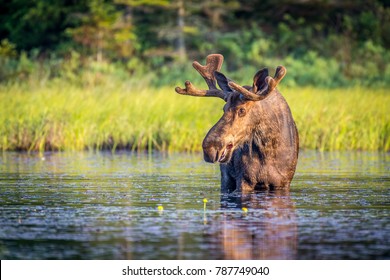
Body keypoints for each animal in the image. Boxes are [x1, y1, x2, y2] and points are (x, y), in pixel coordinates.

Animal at [174, 53, 298, 194]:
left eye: (242, 110)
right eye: (224, 108)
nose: (209, 148)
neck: (268, 148)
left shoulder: (283, 183)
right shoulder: (244, 180)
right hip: (226, 177)